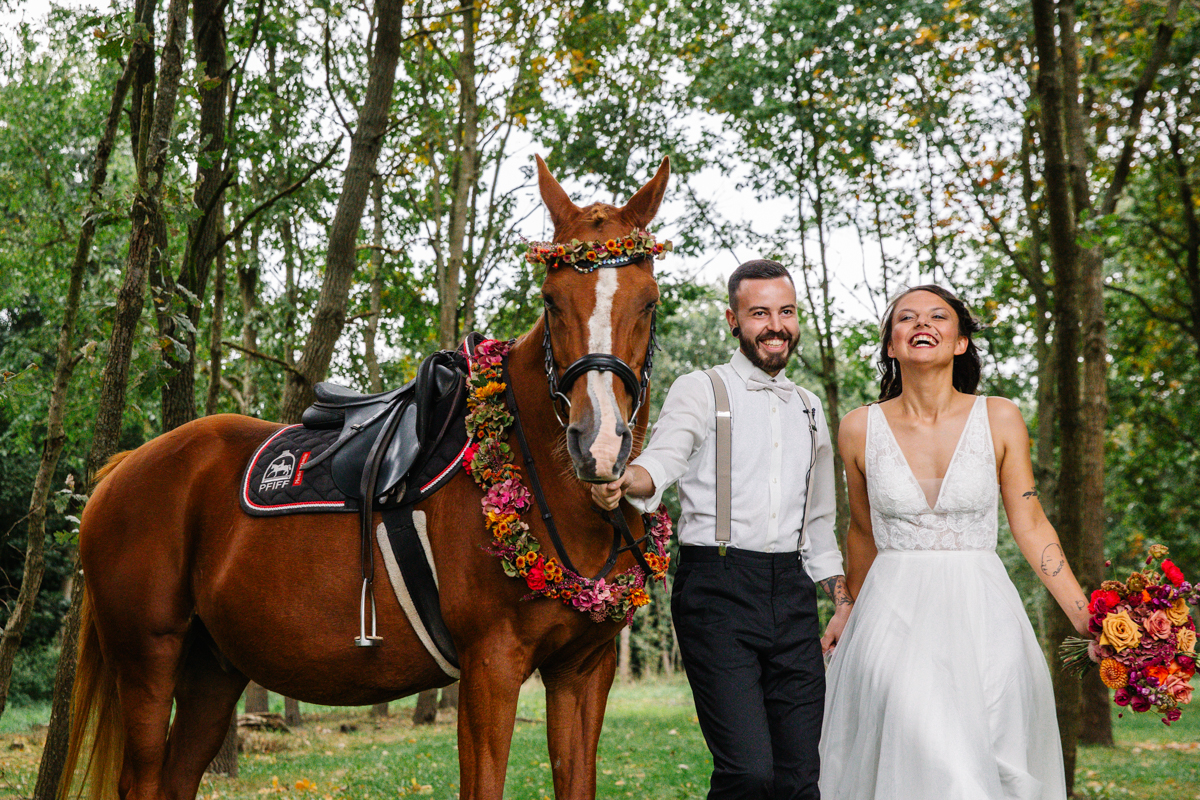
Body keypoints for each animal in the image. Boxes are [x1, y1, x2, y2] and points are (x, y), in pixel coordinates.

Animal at [60, 155, 672, 800]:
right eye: (552, 300)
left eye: (649, 302)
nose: (598, 445)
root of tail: (122, 469)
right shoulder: (491, 665)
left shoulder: (583, 672)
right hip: (148, 662)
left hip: (212, 669)